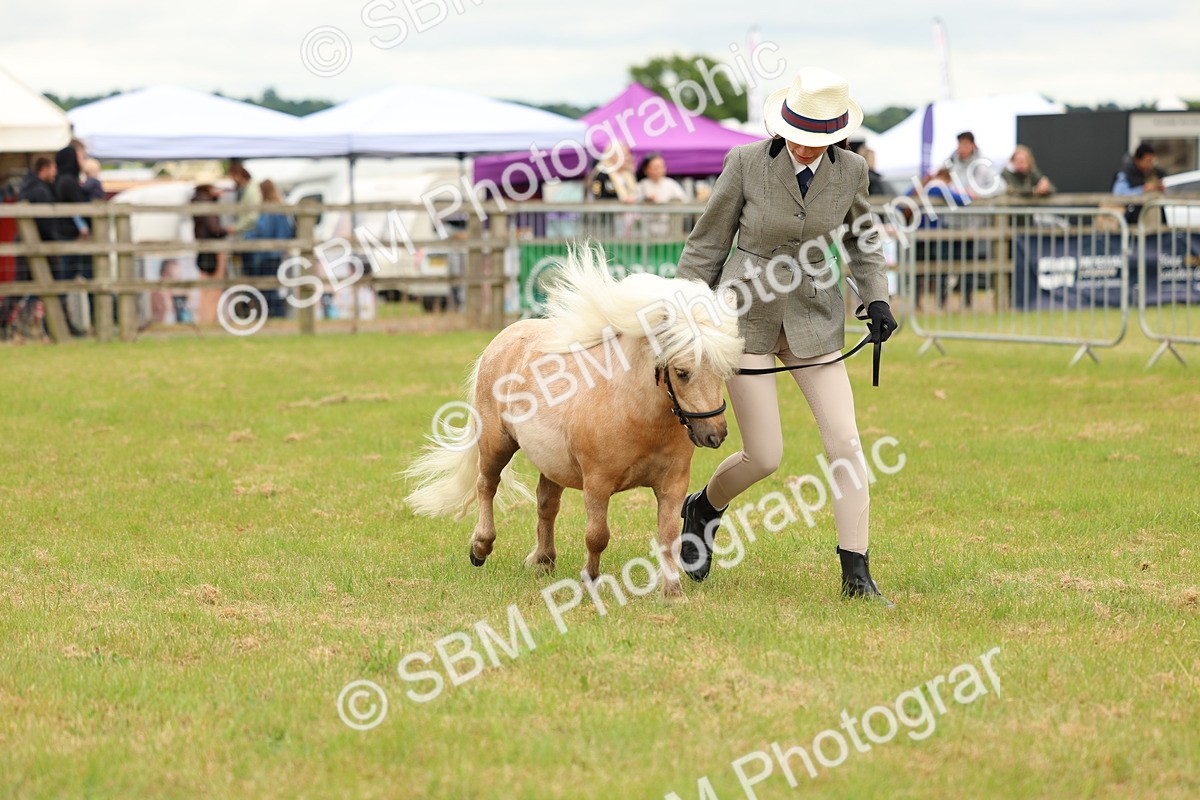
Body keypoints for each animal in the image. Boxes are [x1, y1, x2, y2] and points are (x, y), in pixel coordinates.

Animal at [404, 247, 744, 598]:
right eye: (682, 372)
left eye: (724, 371)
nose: (716, 434)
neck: (634, 411)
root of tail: (503, 339)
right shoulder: (597, 484)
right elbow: (597, 535)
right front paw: (590, 580)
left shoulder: (672, 484)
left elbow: (668, 536)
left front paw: (673, 591)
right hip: (496, 443)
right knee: (487, 485)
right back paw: (481, 547)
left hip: (550, 461)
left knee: (546, 503)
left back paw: (543, 559)